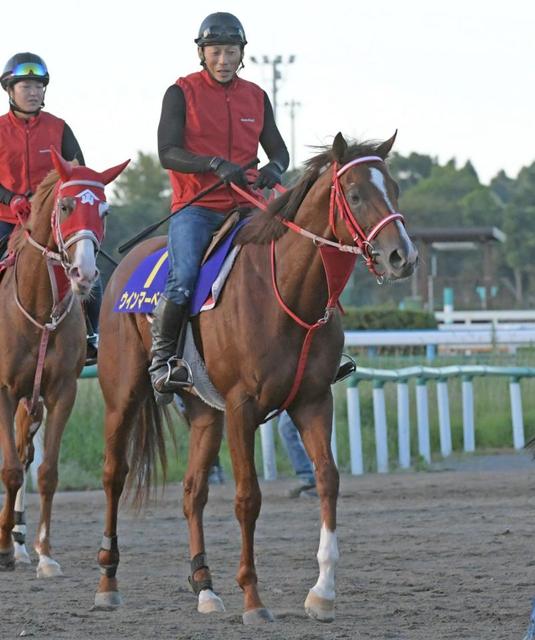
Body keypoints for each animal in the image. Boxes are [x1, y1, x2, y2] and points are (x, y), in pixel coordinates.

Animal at [0, 150, 129, 576]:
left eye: (105, 210)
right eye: (66, 206)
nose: (84, 272)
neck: (38, 308)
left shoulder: (60, 393)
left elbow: (46, 472)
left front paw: (43, 553)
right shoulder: (3, 392)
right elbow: (9, 469)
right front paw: (4, 549)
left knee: (26, 455)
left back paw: (20, 540)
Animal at [93, 132, 418, 624]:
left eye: (395, 189)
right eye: (356, 194)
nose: (403, 256)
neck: (288, 291)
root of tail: (122, 268)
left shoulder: (313, 400)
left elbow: (328, 479)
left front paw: (322, 592)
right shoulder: (243, 406)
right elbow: (248, 497)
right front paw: (253, 598)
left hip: (204, 412)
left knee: (193, 491)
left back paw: (205, 587)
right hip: (122, 395)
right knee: (115, 475)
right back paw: (108, 582)